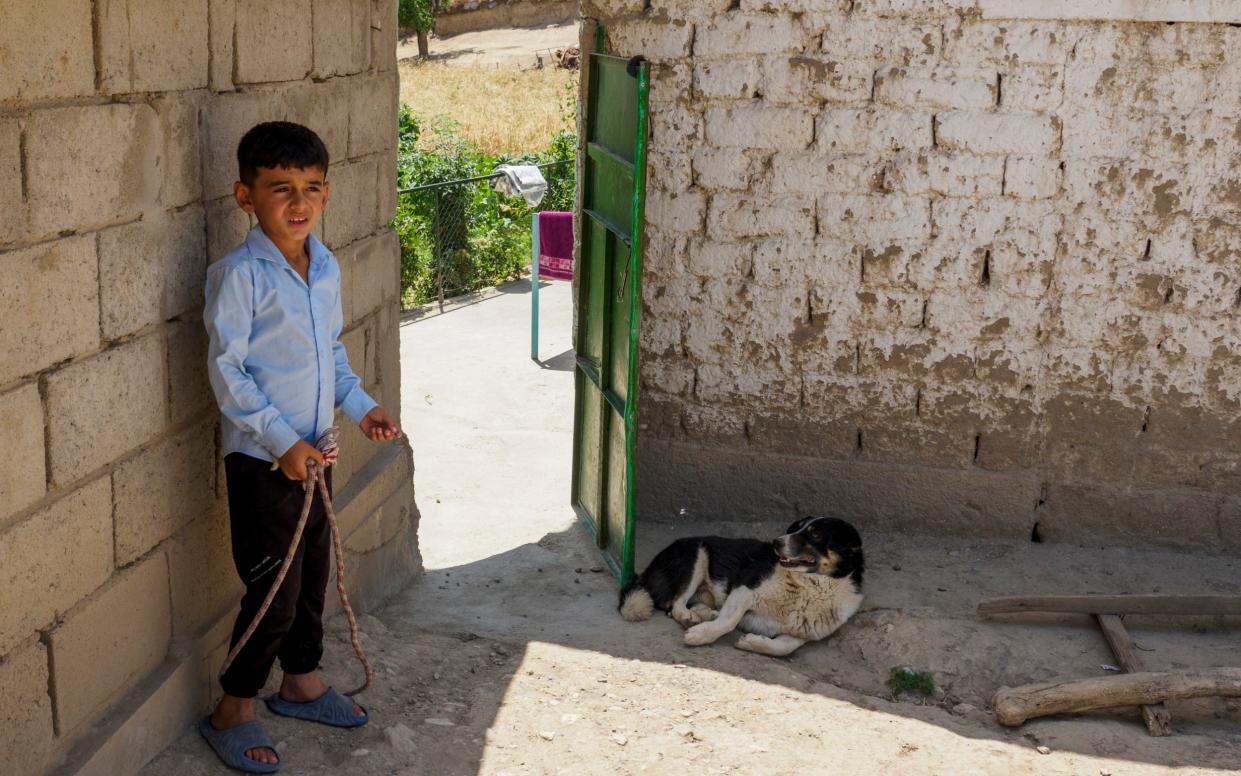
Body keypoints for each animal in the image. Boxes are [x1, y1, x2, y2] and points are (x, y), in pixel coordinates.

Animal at [618, 514, 863, 655]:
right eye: (796, 528)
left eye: (815, 534)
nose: (776, 542)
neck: (809, 588)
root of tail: (645, 572)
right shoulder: (745, 589)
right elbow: (729, 620)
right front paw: (701, 636)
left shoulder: (803, 634)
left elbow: (784, 648)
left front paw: (751, 642)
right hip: (696, 555)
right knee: (675, 604)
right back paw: (691, 618)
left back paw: (705, 614)